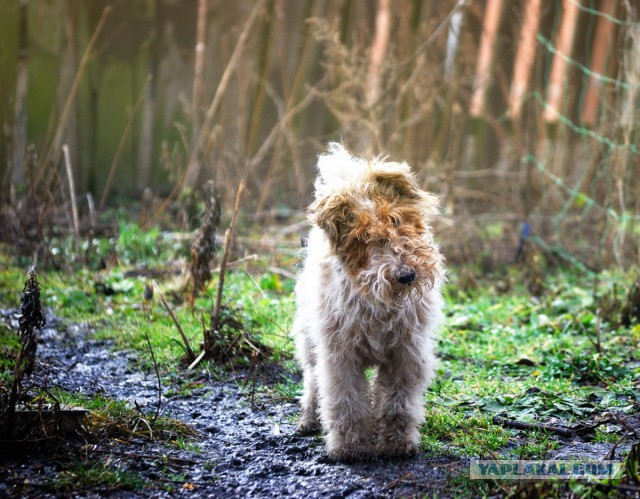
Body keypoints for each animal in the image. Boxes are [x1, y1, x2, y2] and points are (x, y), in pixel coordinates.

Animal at [292, 142, 444, 460]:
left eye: (397, 220)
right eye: (365, 237)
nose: (407, 274)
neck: (378, 301)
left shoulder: (406, 353)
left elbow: (398, 403)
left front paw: (397, 444)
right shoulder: (340, 356)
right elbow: (345, 402)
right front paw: (349, 448)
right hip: (310, 342)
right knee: (312, 381)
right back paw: (308, 420)